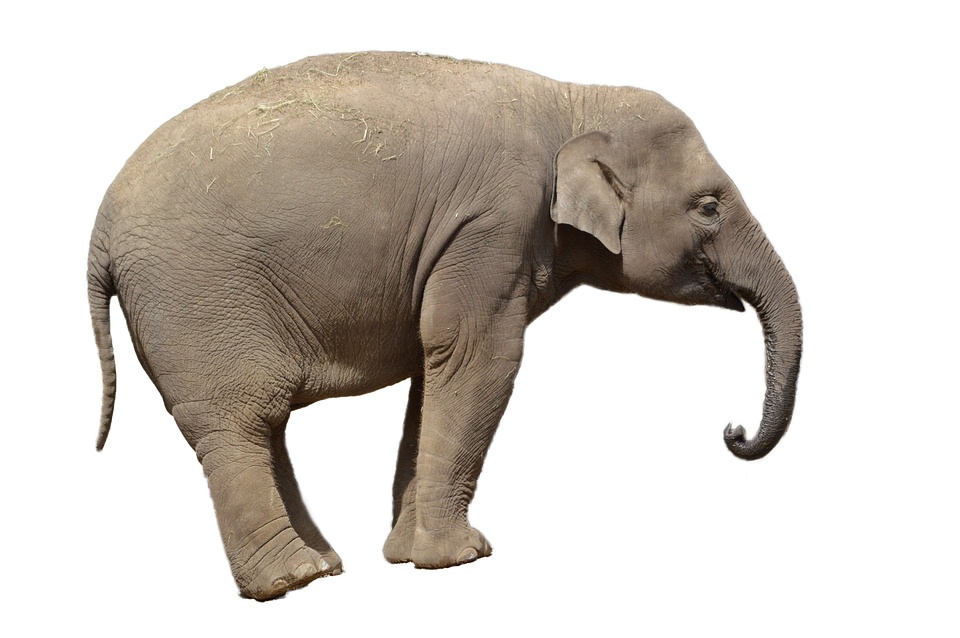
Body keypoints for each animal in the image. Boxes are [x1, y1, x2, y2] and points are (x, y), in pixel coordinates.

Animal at [86, 51, 802, 601]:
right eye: (708, 207)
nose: (732, 431)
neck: (572, 102)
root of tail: (100, 227)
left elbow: (437, 373)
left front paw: (412, 556)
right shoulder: (493, 226)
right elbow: (479, 358)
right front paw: (462, 558)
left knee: (256, 426)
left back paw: (323, 565)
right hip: (195, 298)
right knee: (237, 421)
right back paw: (292, 581)